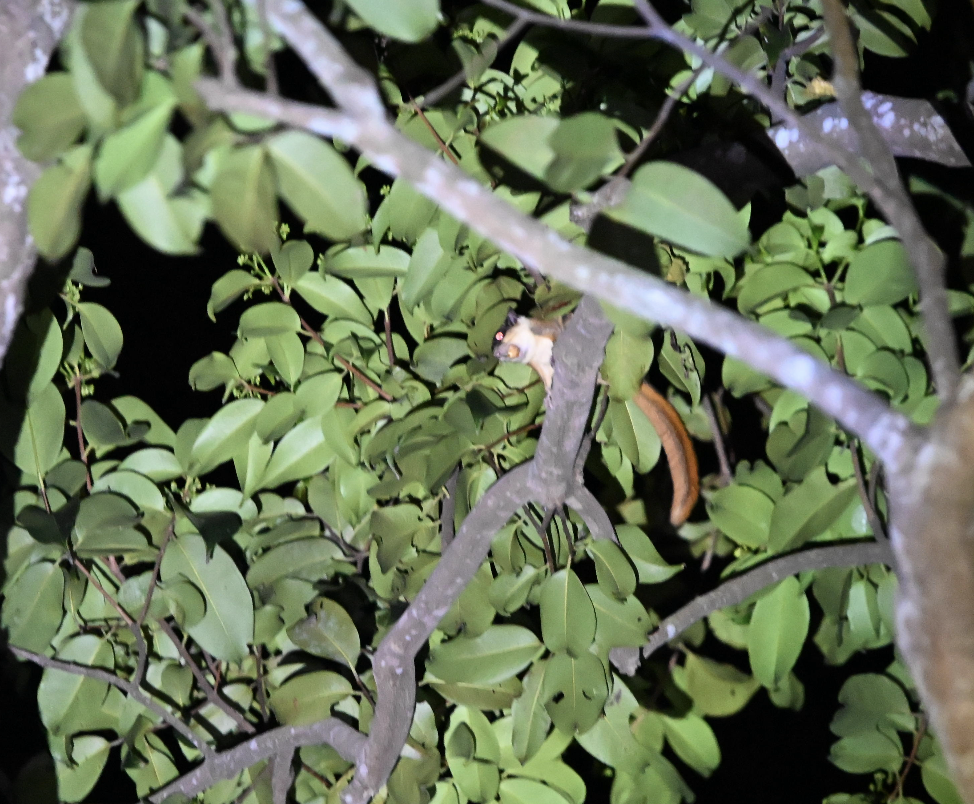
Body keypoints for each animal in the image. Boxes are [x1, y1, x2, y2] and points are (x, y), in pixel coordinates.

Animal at [493, 313, 699, 526]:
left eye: (500, 335)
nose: (496, 354)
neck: (533, 348)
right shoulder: (539, 366)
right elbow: (548, 381)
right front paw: (548, 397)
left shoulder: (544, 329)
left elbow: (558, 331)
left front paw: (556, 349)